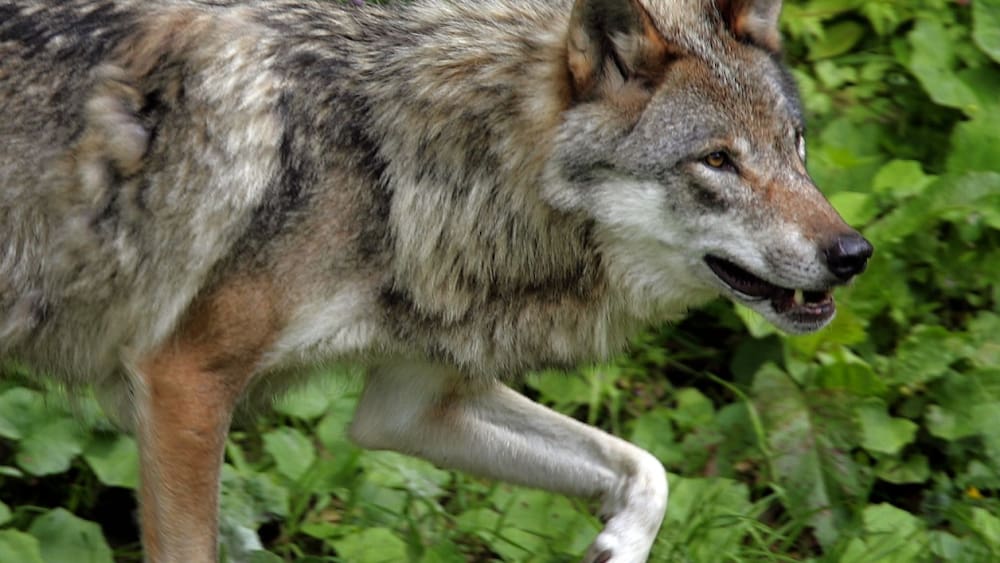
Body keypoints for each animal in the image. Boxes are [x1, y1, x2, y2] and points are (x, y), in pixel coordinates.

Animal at [0, 0, 872, 561]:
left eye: (795, 144)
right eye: (718, 161)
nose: (853, 253)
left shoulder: (408, 407)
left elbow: (646, 470)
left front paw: (614, 546)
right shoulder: (184, 382)